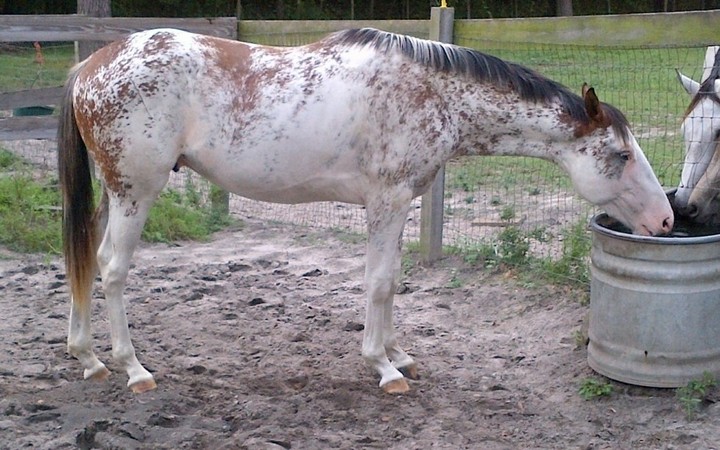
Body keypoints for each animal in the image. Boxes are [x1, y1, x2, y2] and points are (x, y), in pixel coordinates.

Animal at [58, 27, 673, 395]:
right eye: (621, 155)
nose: (666, 221)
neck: (432, 92)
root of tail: (91, 65)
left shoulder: (400, 205)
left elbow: (393, 280)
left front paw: (400, 354)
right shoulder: (388, 201)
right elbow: (379, 282)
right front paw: (382, 365)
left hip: (116, 193)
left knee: (87, 261)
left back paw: (88, 358)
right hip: (137, 191)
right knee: (112, 270)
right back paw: (132, 369)